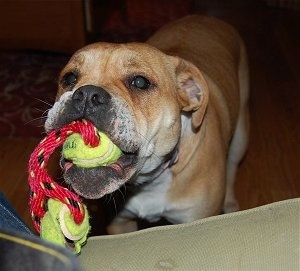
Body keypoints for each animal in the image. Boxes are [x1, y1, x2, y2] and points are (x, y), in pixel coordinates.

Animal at [45, 15, 248, 235]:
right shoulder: (120, 224)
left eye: (140, 82)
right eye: (69, 78)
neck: (149, 181)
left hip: (240, 137)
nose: (87, 95)